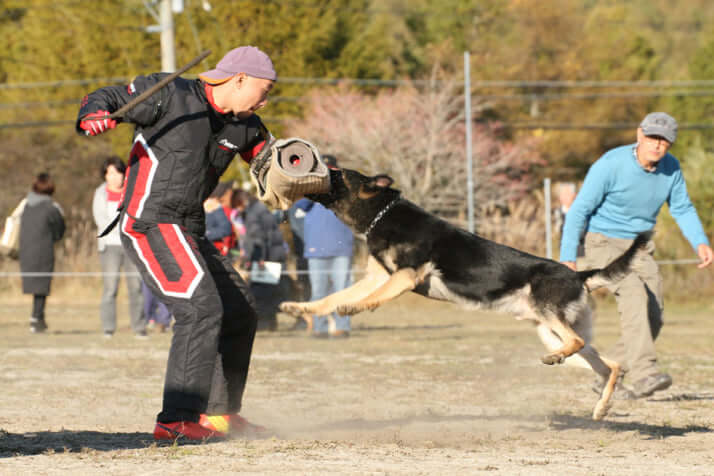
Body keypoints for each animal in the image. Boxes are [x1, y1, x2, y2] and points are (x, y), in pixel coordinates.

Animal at [280, 168, 652, 420]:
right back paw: (600, 406)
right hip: (551, 331)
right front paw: (300, 308)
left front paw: (353, 308)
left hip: (550, 318)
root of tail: (579, 275)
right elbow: (327, 299)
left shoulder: (403, 276)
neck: (381, 215)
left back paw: (560, 364)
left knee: (581, 345)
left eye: (338, 174)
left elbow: (364, 299)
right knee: (611, 366)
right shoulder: (378, 275)